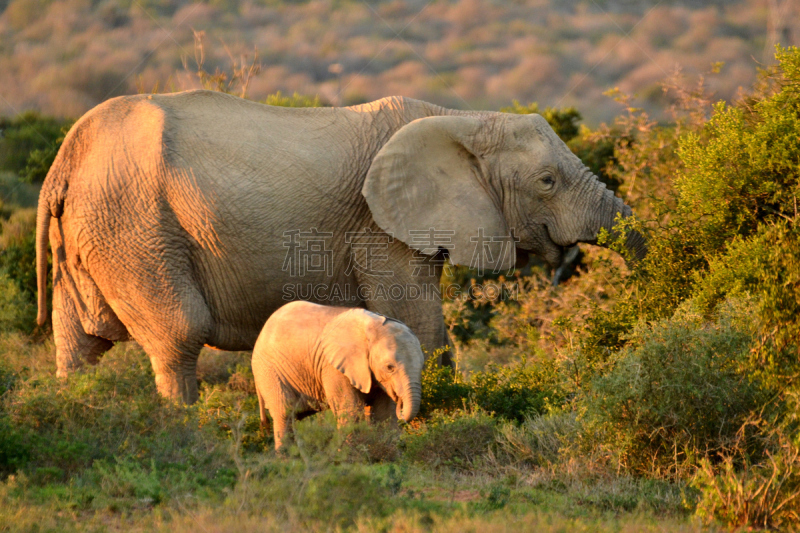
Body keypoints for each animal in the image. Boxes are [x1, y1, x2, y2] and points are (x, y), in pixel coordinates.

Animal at [37, 91, 648, 402]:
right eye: (547, 181)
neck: (463, 117)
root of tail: (63, 162)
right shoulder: (377, 226)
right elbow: (416, 320)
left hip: (95, 231)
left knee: (82, 343)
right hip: (134, 226)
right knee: (179, 334)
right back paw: (186, 429)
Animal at [253, 302, 428, 446]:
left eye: (422, 365)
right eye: (390, 367)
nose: (400, 401)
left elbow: (384, 413)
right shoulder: (333, 367)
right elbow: (351, 411)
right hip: (268, 370)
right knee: (285, 414)